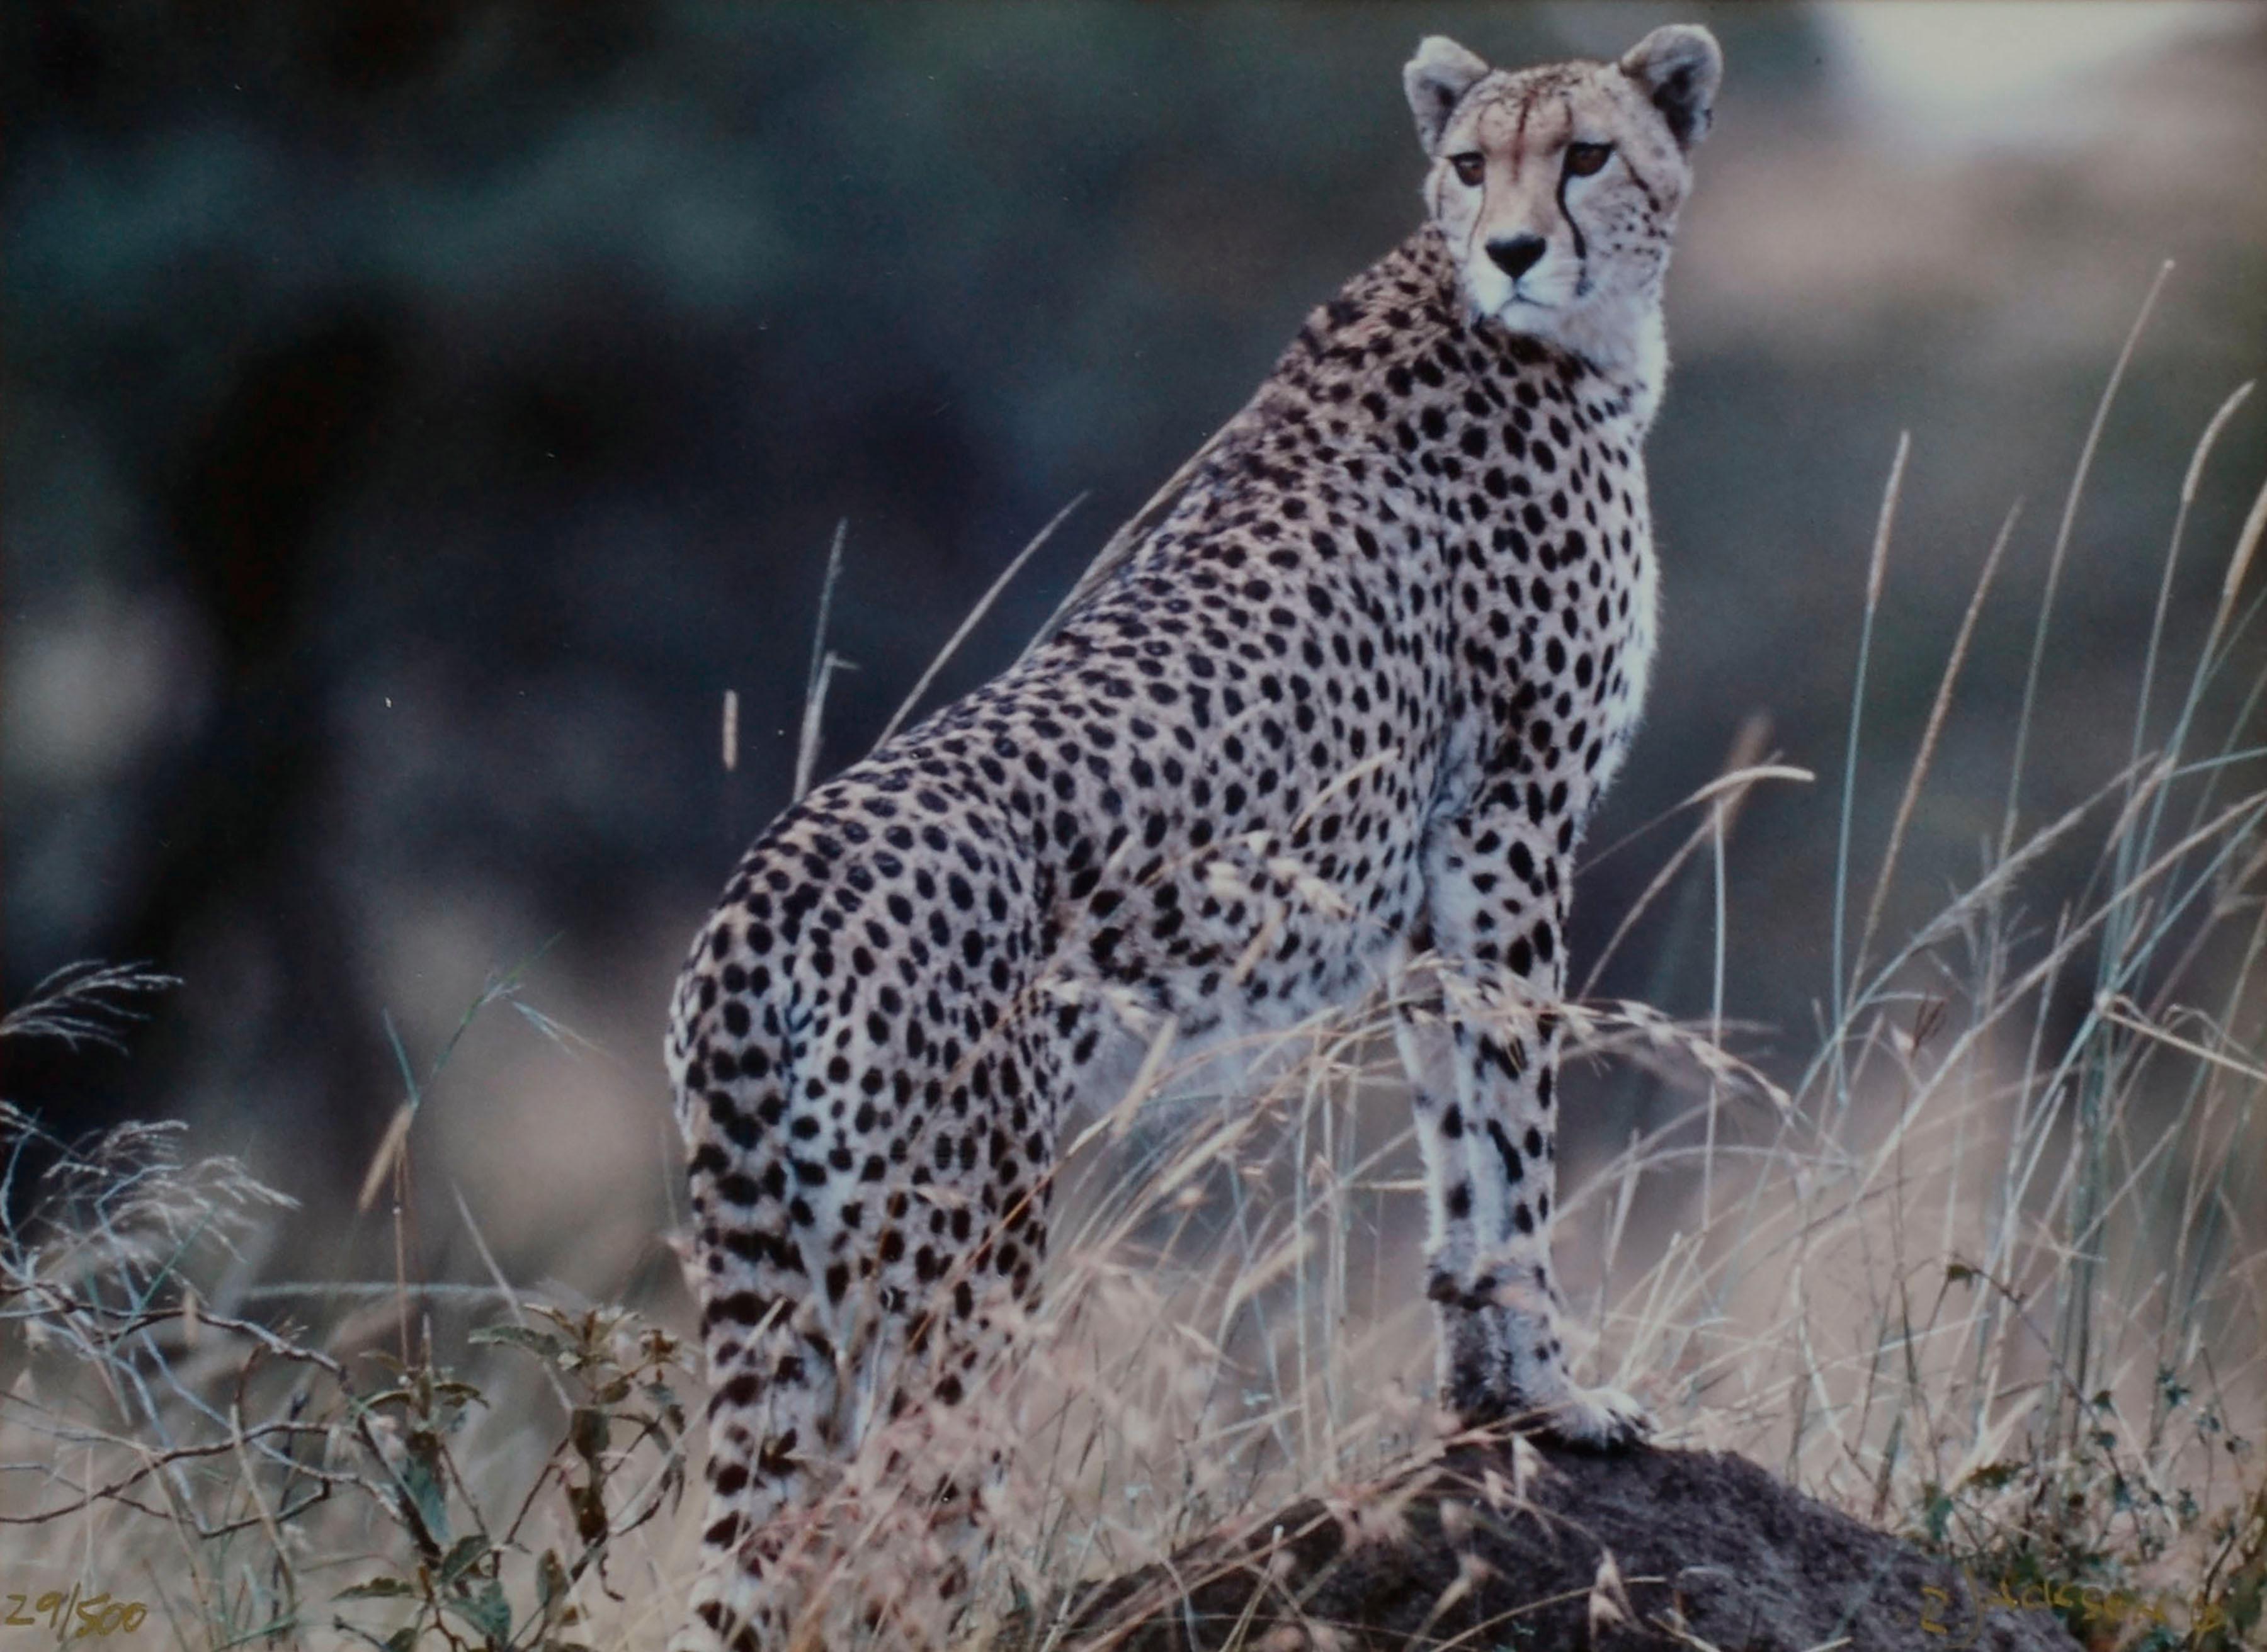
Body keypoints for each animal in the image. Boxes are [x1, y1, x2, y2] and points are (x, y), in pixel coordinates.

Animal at [662, 22, 1723, 1641]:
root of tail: (767, 887)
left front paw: (1484, 1393)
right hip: (964, 1248)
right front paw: (1558, 1395)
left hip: (785, 1266)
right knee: (899, 1536)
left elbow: (1458, 1144)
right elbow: (1520, 1139)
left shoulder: (1428, 890)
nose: (1515, 249)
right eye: (1471, 163)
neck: (1541, 336)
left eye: (1587, 153)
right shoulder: (1509, 830)